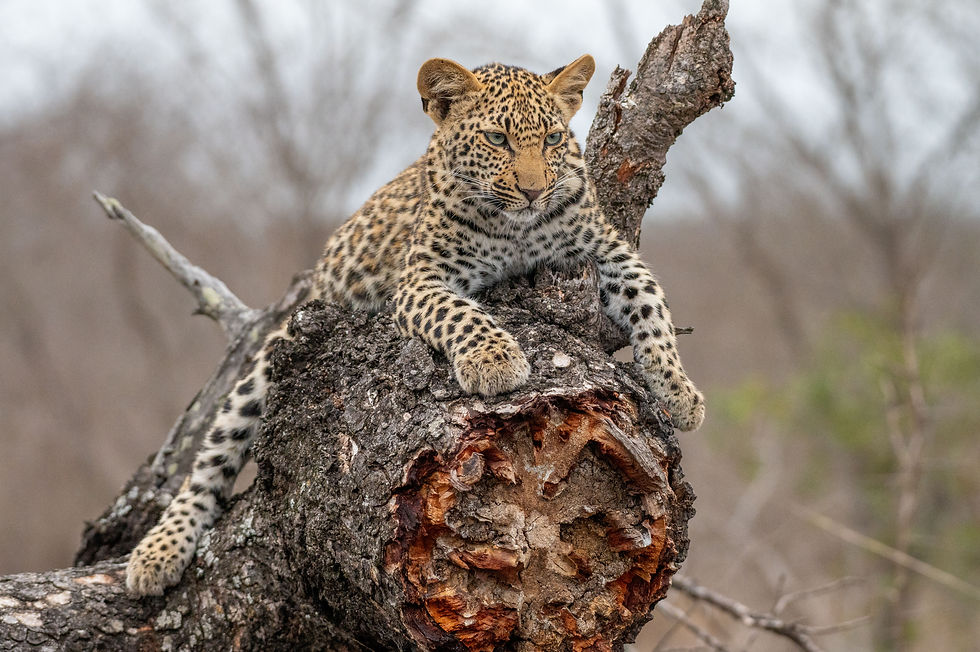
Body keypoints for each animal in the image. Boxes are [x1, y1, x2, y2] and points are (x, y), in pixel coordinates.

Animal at [125, 54, 704, 596]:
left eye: (554, 138)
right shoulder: (420, 278)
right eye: (497, 139)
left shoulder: (608, 251)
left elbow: (653, 307)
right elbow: (460, 313)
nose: (534, 192)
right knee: (209, 461)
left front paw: (679, 392)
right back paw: (156, 553)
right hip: (271, 358)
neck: (518, 232)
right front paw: (496, 360)